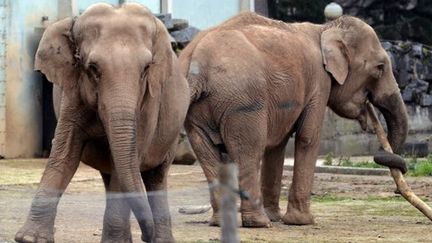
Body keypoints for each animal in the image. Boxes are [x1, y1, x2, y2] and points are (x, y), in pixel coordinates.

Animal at [15, 2, 189, 242]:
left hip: (172, 133)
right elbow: (64, 154)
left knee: (156, 176)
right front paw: (30, 239)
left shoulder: (149, 102)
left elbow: (129, 159)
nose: (147, 235)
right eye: (93, 68)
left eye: (146, 69)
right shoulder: (73, 89)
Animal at [179, 12, 408, 227]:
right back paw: (260, 223)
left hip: (197, 110)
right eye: (380, 67)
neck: (324, 29)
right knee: (249, 151)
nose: (397, 192)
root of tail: (197, 64)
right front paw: (302, 221)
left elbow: (277, 146)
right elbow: (308, 137)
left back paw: (225, 222)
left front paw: (277, 217)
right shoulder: (319, 82)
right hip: (242, 102)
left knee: (208, 154)